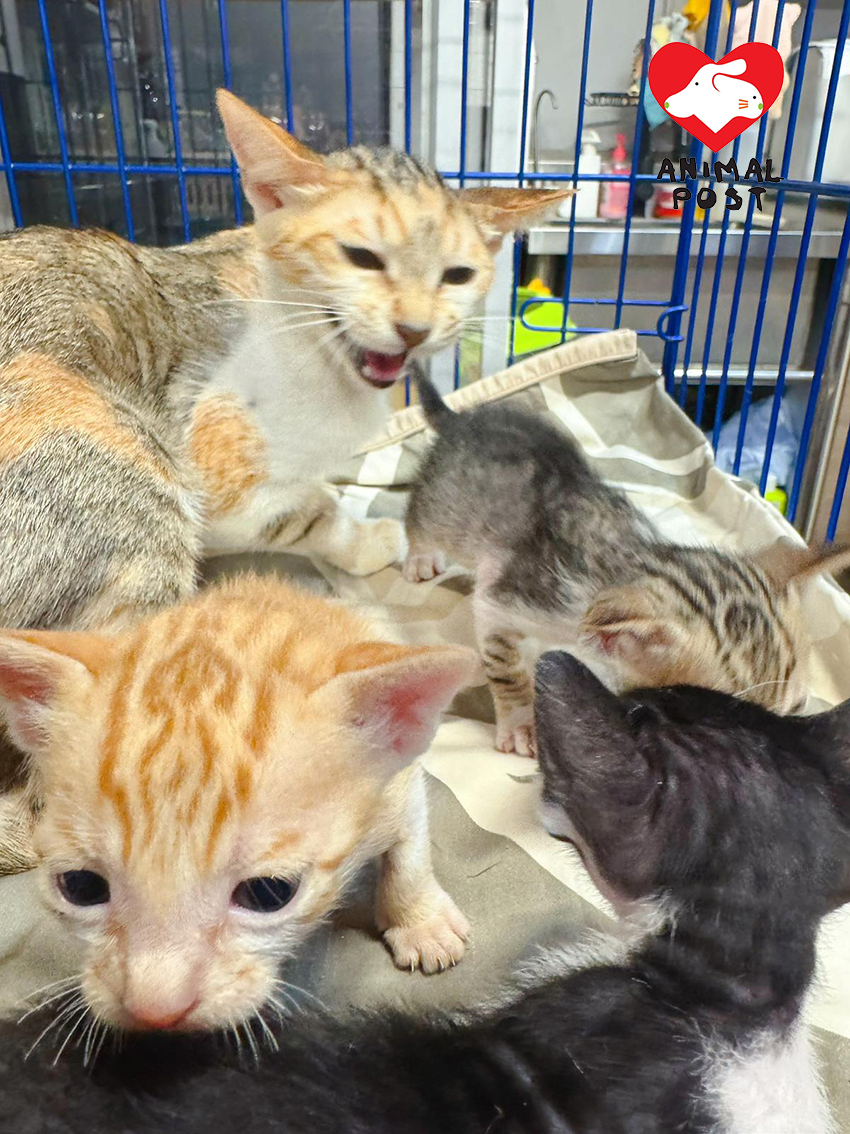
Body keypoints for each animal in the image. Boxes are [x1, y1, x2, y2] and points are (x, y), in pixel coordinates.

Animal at [0, 575, 478, 1030]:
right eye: (81, 886)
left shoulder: (399, 781)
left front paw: (421, 922)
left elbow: (410, 847)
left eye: (269, 893)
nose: (156, 1011)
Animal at [403, 372, 850, 754]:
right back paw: (420, 557)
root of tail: (459, 420)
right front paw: (520, 723)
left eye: (796, 710)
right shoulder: (507, 596)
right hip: (446, 509)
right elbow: (504, 662)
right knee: (418, 516)